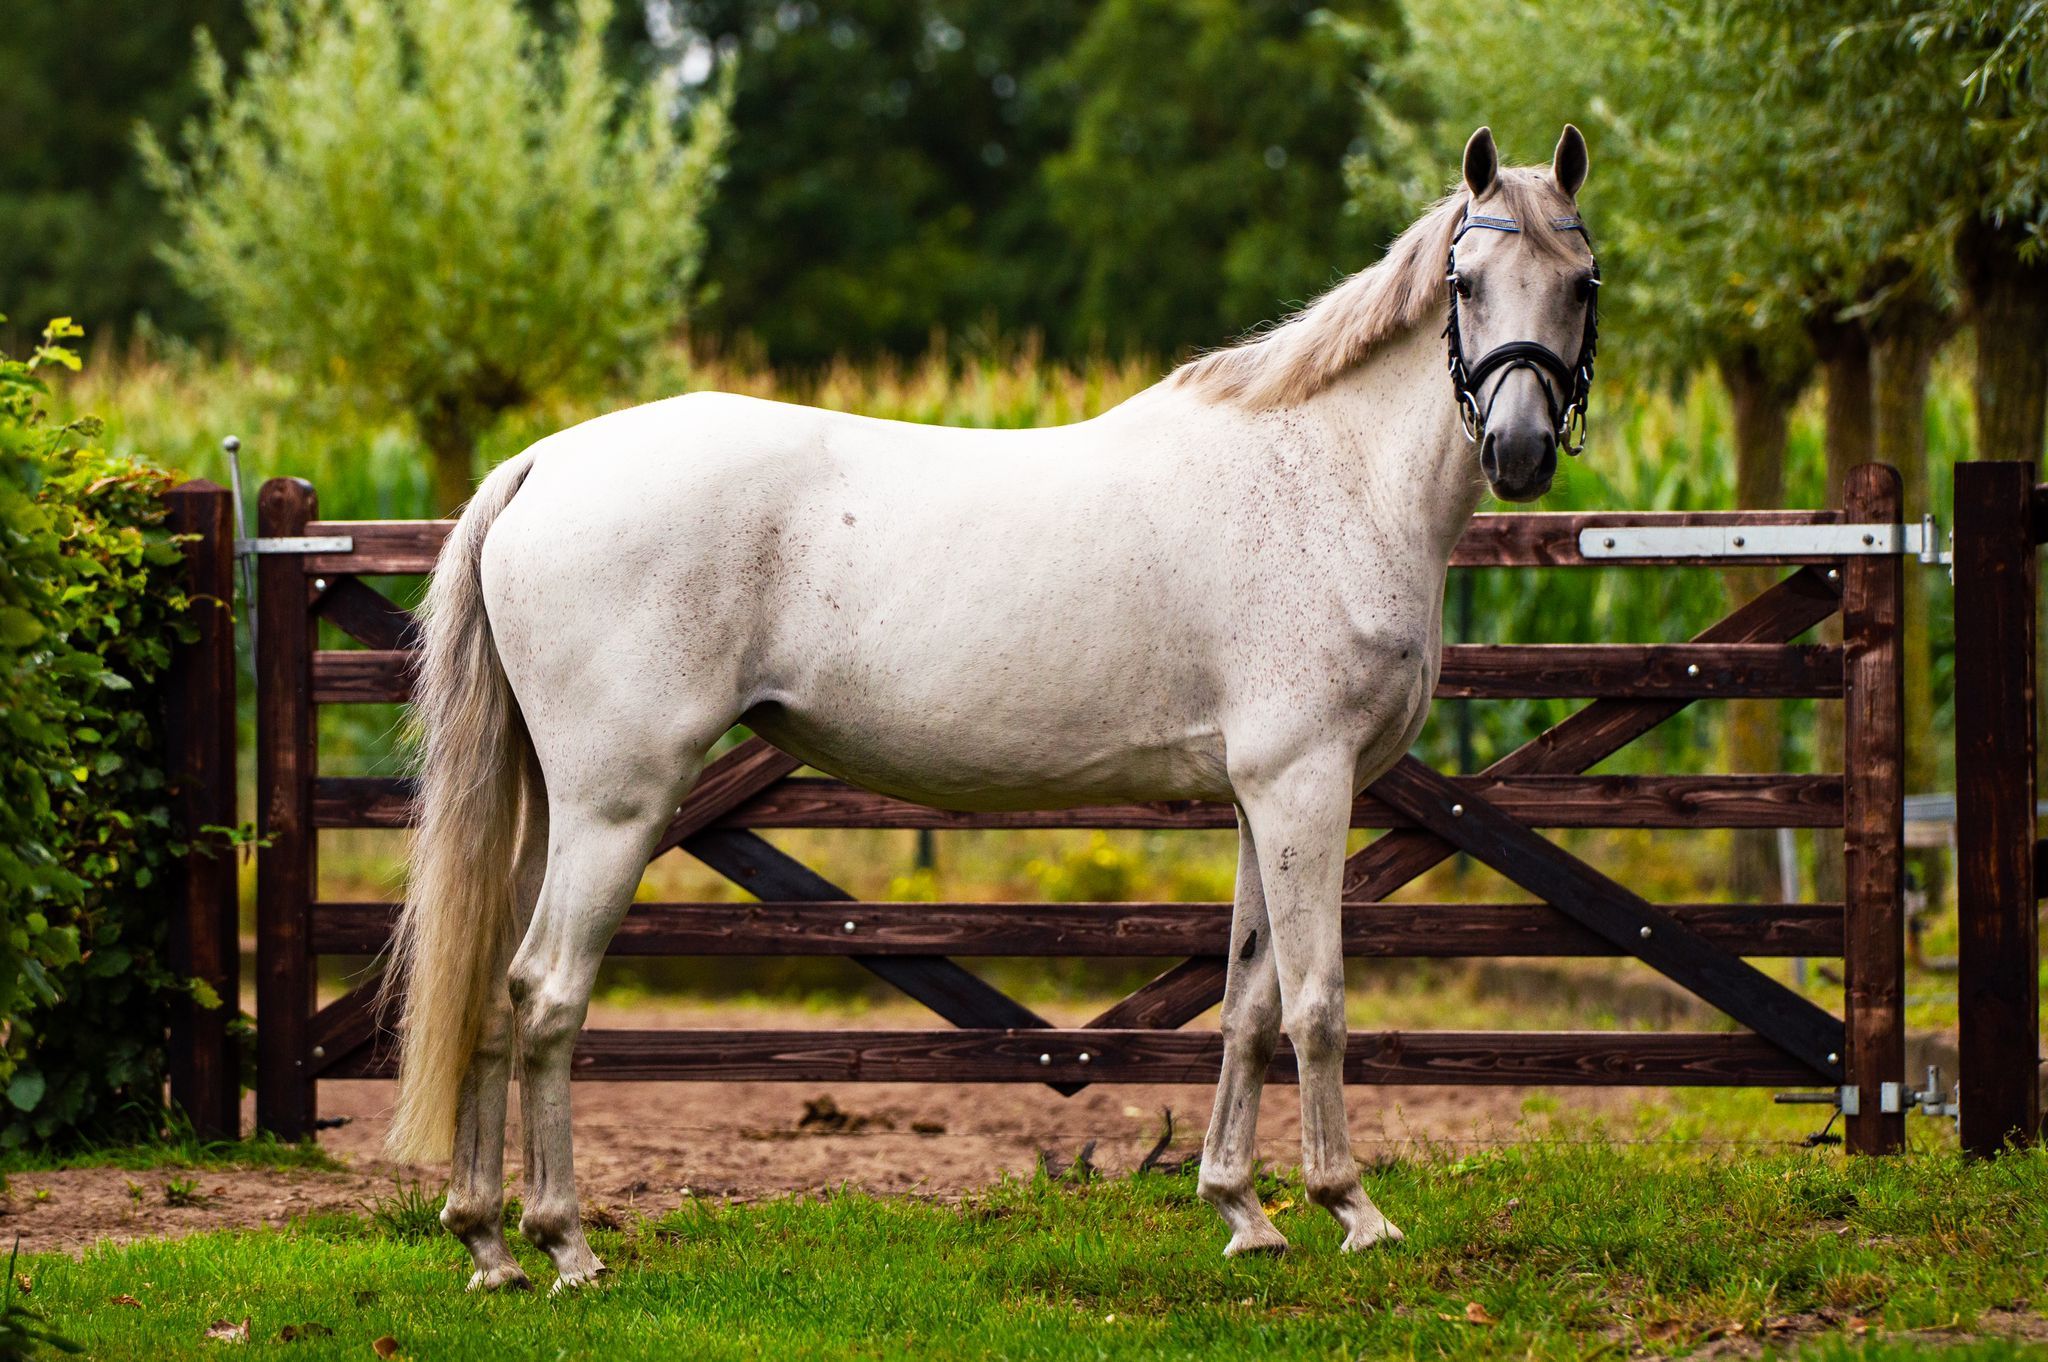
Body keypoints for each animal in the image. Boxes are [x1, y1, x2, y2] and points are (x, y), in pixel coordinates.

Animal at [384, 124, 1599, 1291]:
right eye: (1464, 282)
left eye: (1581, 282)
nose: (1519, 450)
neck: (1324, 477)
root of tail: (544, 463)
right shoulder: (1305, 782)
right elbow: (1316, 1002)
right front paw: (1351, 1211)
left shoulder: (1263, 796)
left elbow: (1248, 1002)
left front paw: (1241, 1214)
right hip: (614, 807)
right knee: (547, 993)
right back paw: (564, 1245)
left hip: (550, 807)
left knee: (491, 989)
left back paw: (488, 1244)